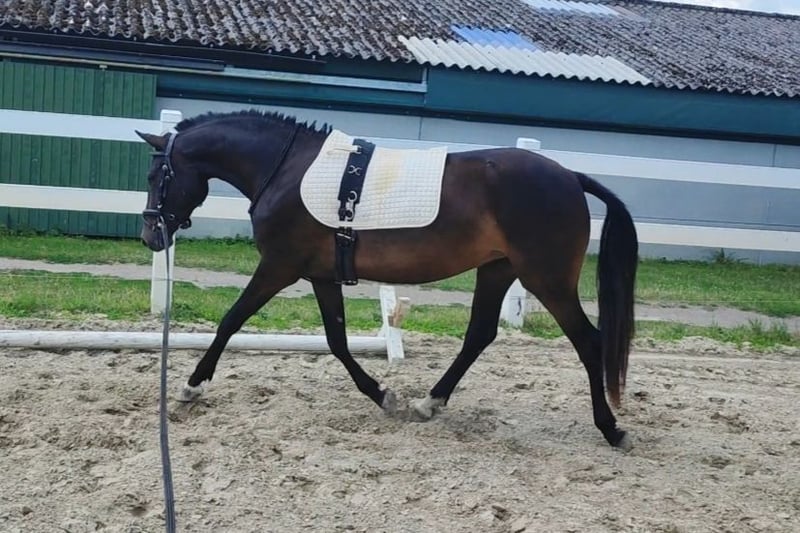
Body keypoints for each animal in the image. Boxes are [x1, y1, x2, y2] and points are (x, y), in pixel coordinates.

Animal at [136, 109, 638, 450]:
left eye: (156, 174)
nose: (151, 235)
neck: (284, 169)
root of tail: (570, 176)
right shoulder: (321, 276)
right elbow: (337, 341)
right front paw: (384, 395)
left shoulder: (278, 266)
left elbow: (230, 320)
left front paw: (191, 387)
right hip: (498, 269)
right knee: (479, 335)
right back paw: (428, 403)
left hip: (546, 278)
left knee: (589, 341)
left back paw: (611, 428)